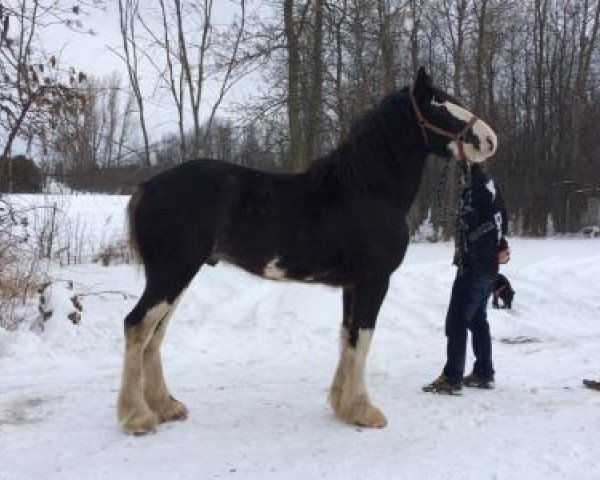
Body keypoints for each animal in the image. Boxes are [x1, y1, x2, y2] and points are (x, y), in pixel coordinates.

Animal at [117, 66, 496, 436]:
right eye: (439, 104)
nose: (489, 139)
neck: (366, 190)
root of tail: (149, 186)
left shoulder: (352, 286)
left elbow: (348, 338)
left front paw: (343, 406)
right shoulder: (374, 281)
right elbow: (363, 339)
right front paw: (364, 412)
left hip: (178, 276)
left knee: (155, 333)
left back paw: (166, 407)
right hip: (172, 273)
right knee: (137, 326)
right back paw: (138, 417)